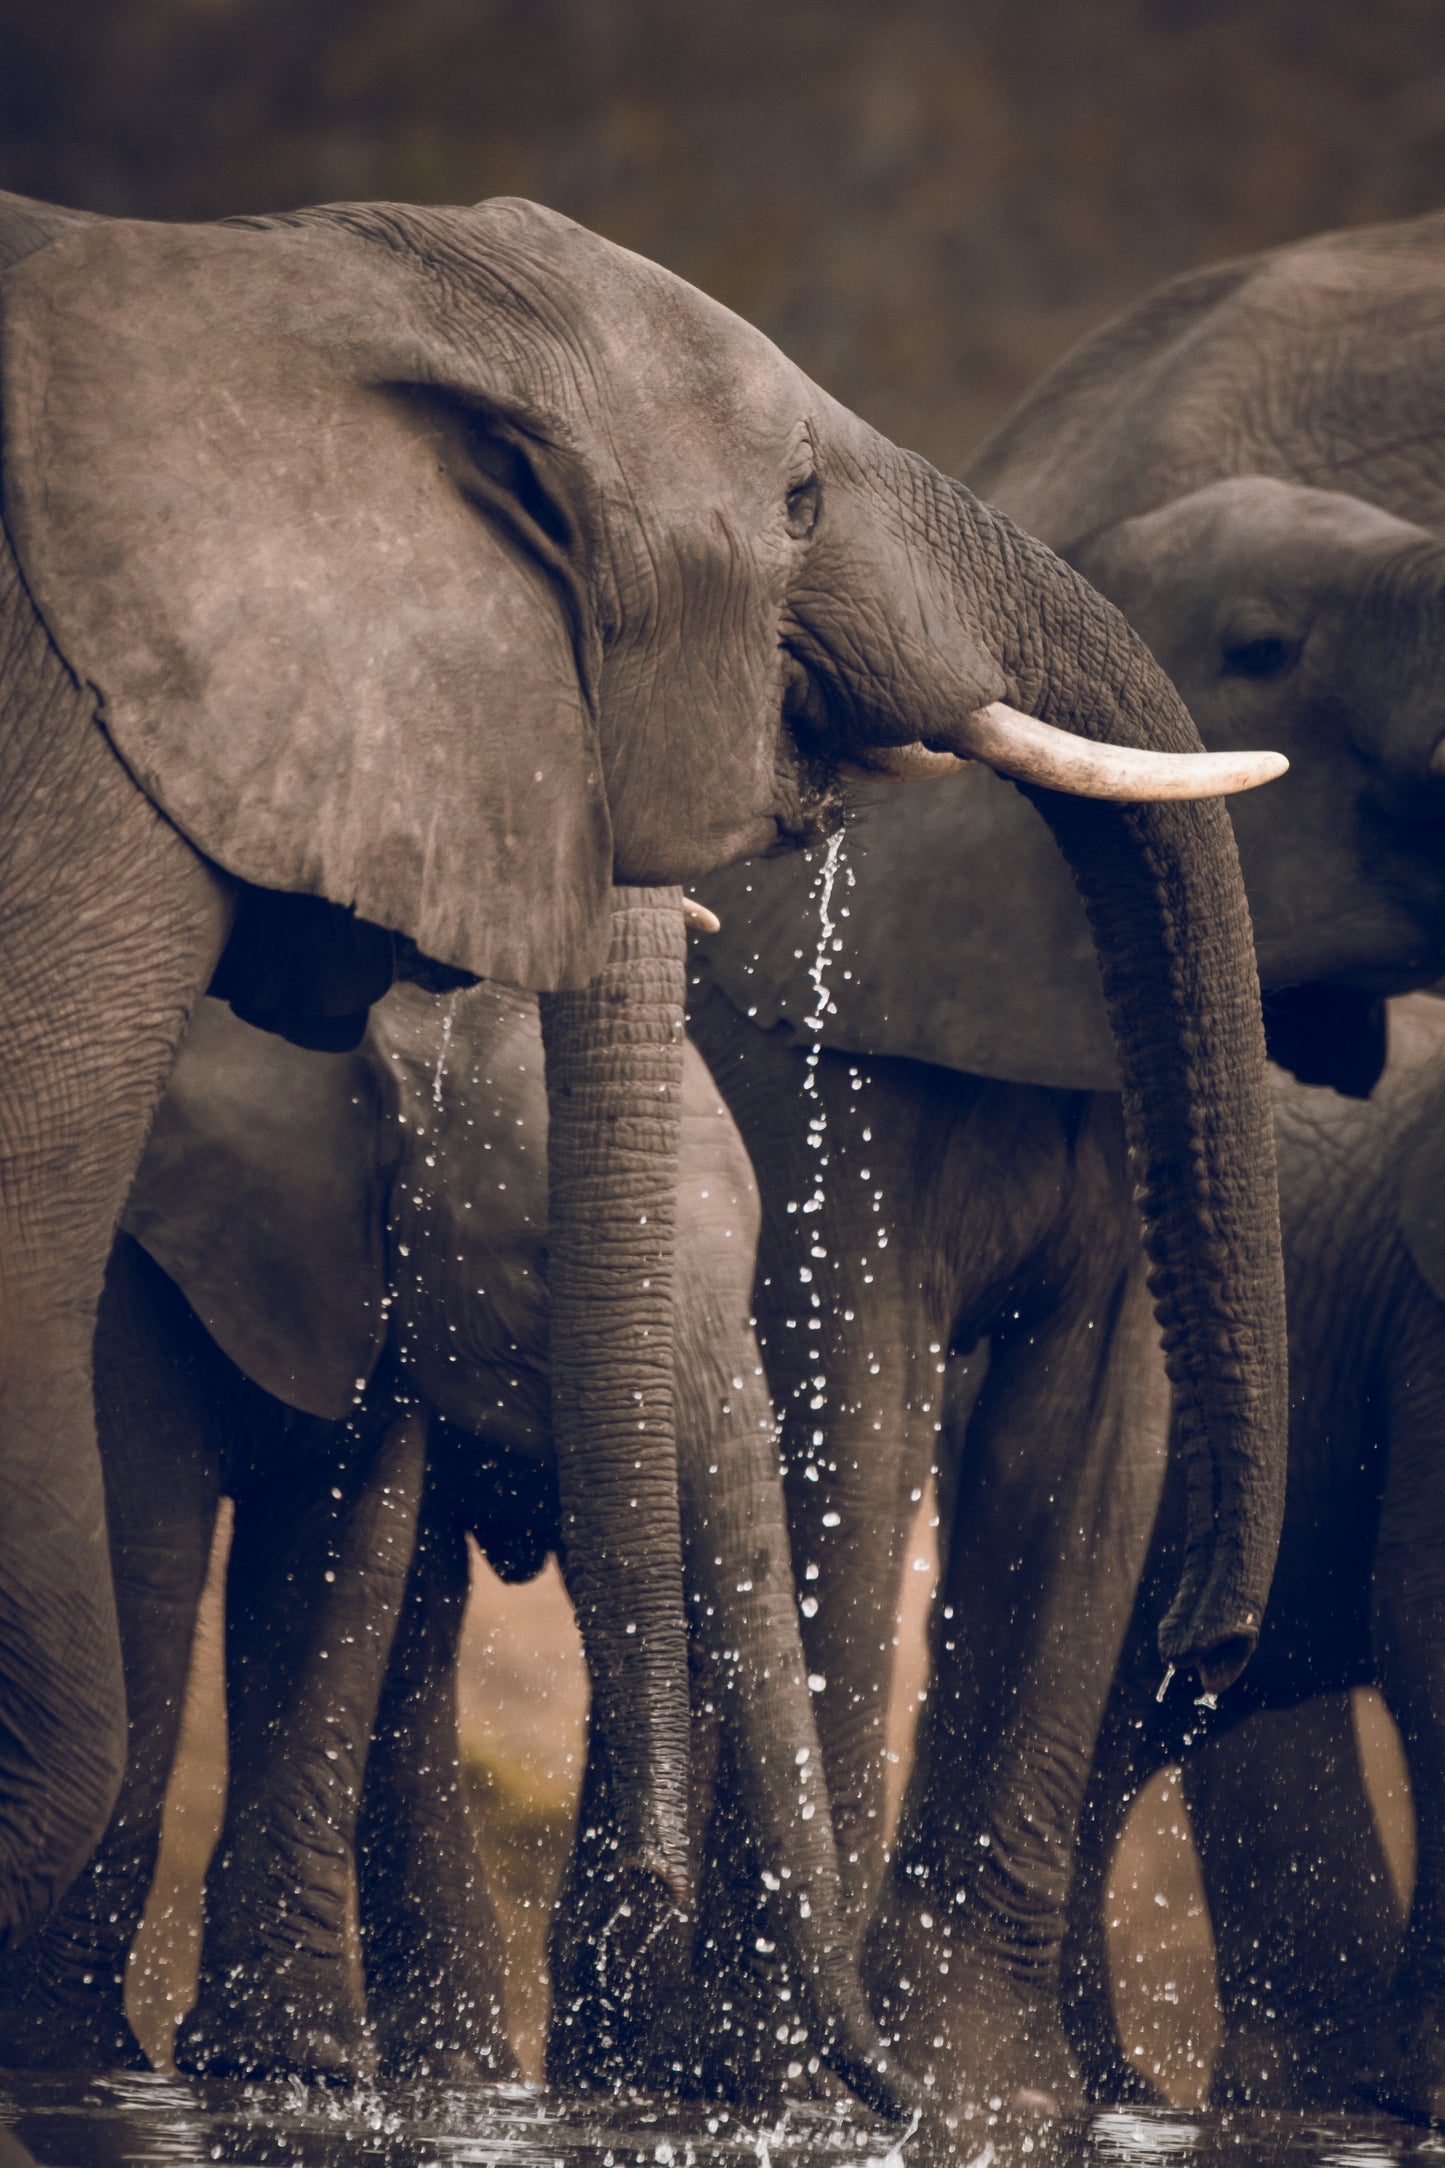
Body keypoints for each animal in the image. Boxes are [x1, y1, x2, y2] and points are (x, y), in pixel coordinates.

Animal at [0, 971, 893, 2105]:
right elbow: (144, 1553)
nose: (653, 1878)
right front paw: (74, 2063)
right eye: (546, 1265)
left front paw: (292, 2065)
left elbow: (333, 1573)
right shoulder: (125, 1275)